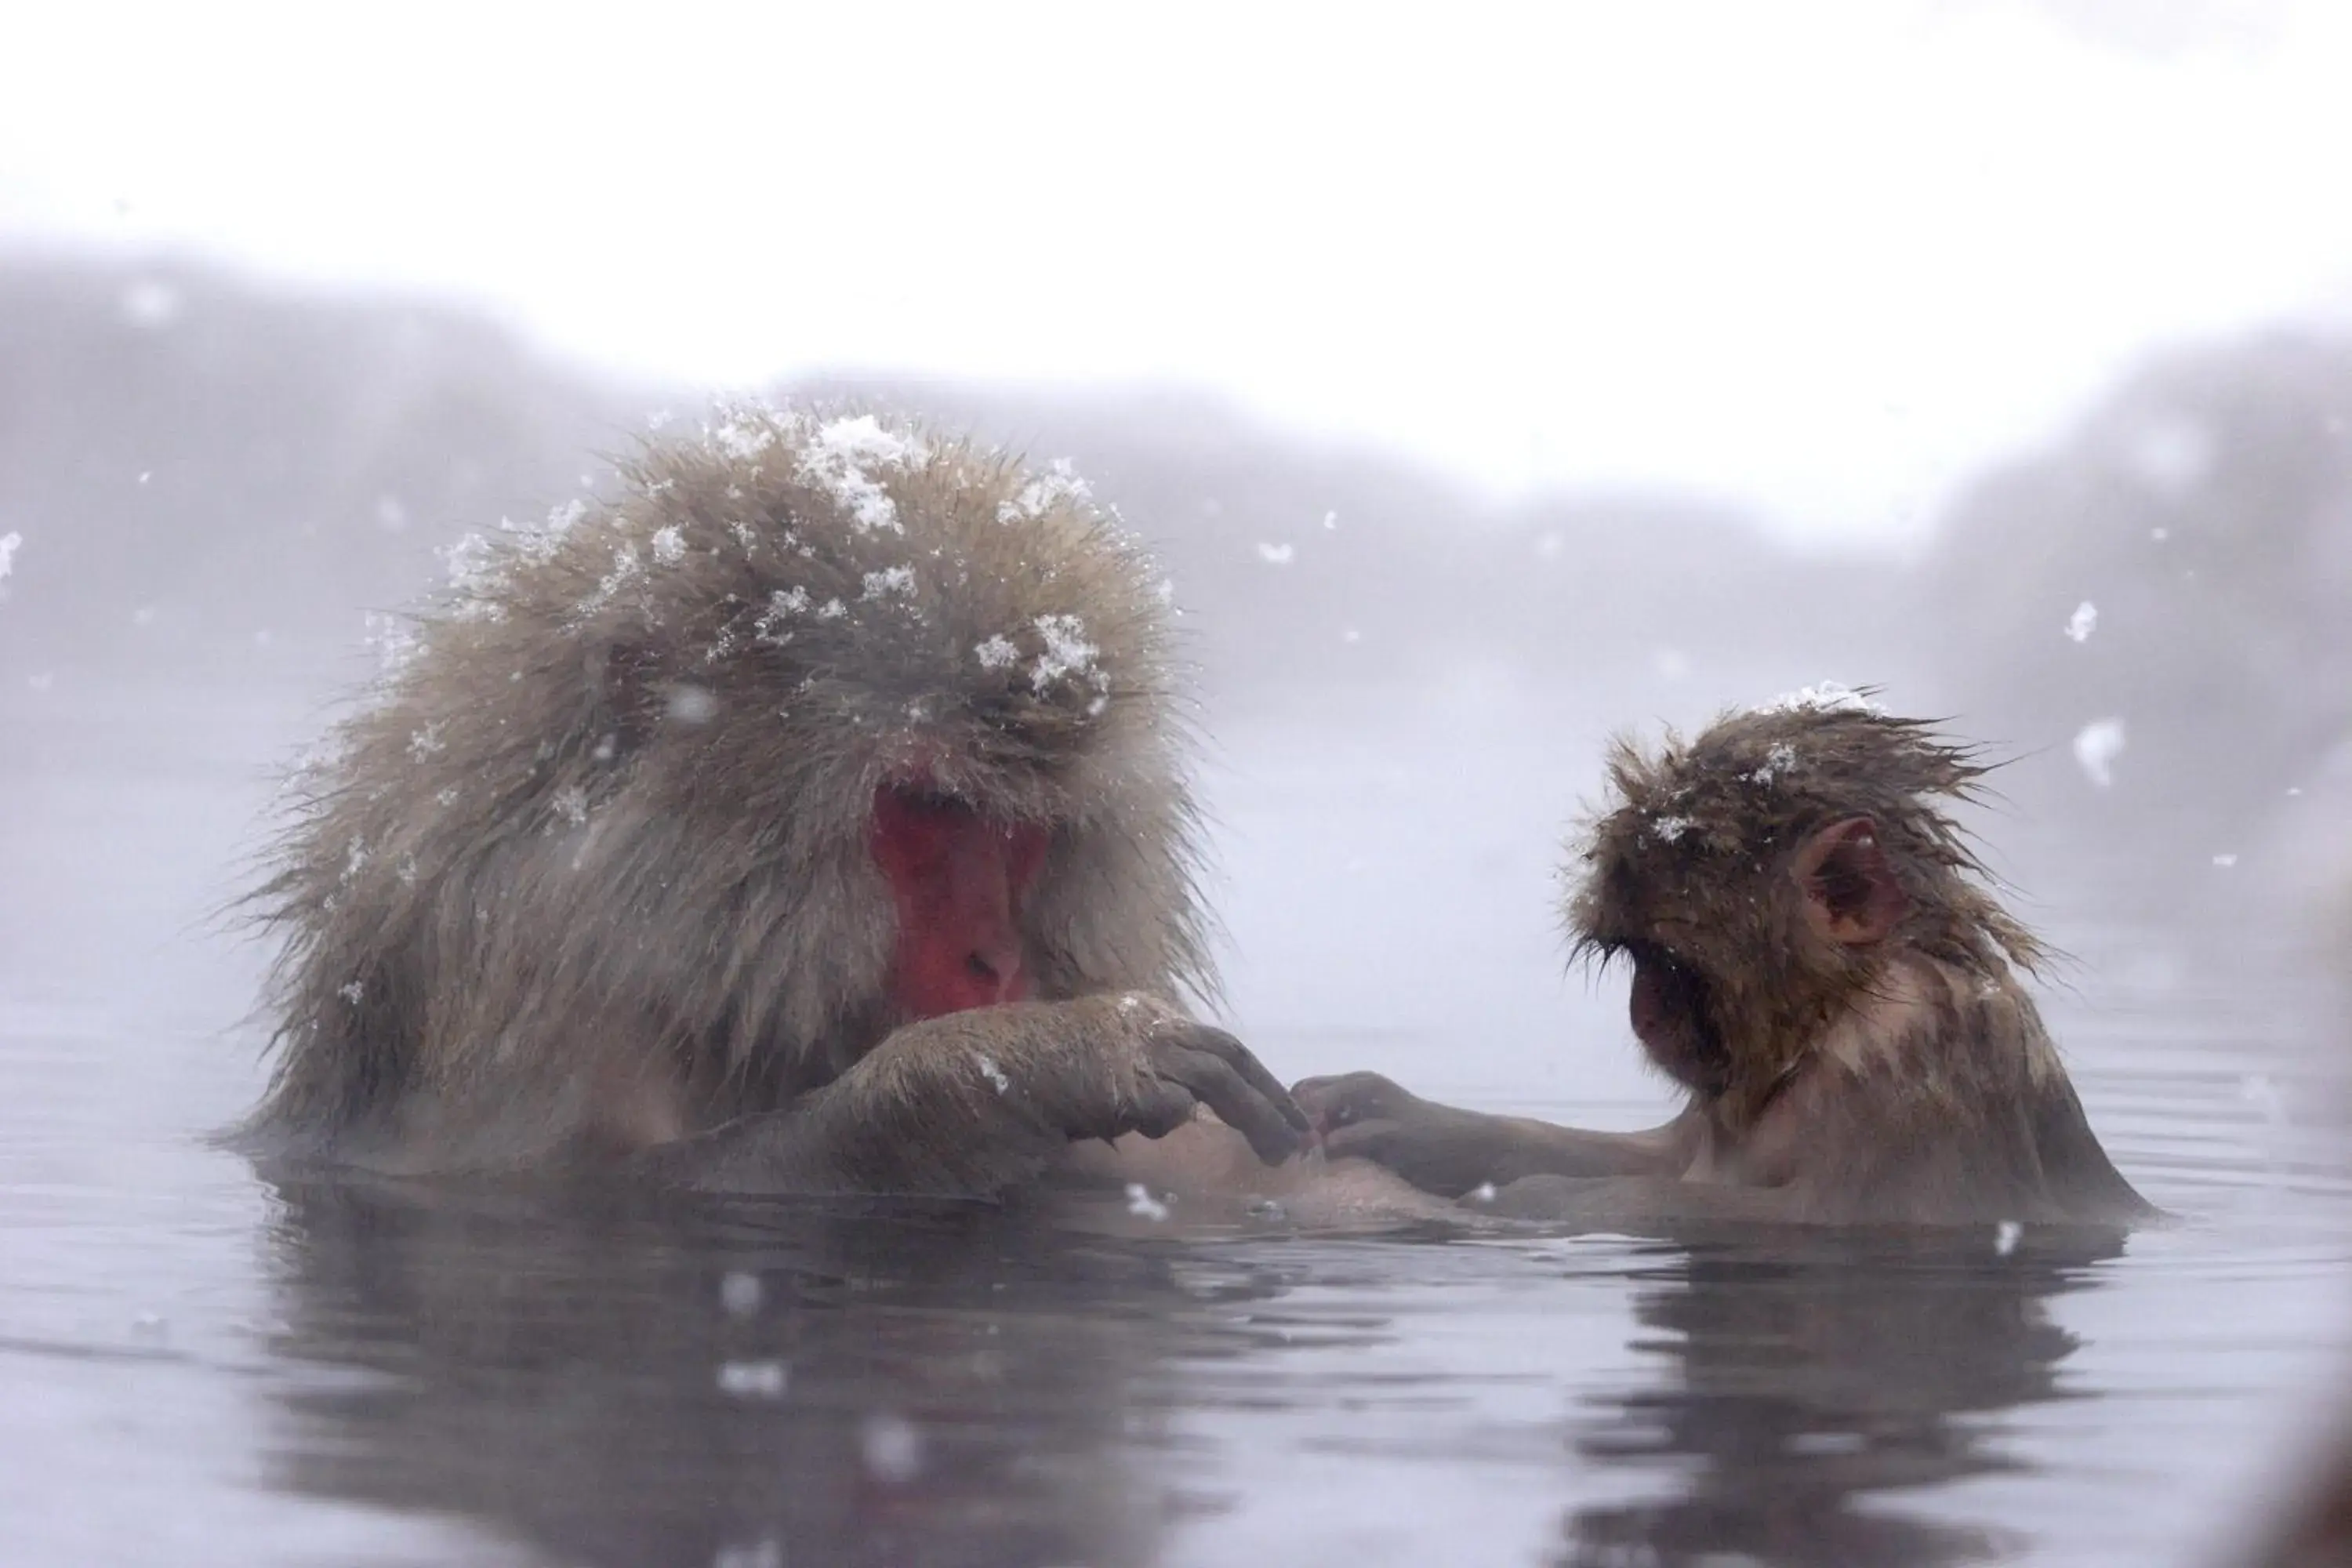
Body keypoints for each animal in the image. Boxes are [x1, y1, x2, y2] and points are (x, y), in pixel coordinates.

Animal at [1298, 691, 2154, 1232]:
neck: (1831, 1016)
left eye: (1671, 961)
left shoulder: (1917, 1051)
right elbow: (1657, 1154)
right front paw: (1384, 1116)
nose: (1644, 1012)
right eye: (1634, 956)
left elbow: (1847, 1217)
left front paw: (1515, 1201)